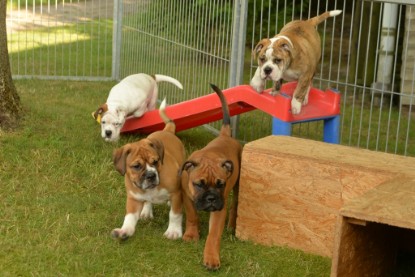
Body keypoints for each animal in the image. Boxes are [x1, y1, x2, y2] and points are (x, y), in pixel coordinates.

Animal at [110, 98, 185, 239]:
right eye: (136, 166)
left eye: (155, 162)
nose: (151, 175)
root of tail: (167, 130)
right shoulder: (133, 199)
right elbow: (130, 217)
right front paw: (124, 230)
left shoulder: (176, 194)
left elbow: (175, 214)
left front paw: (173, 231)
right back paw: (146, 210)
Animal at [180, 83, 242, 268]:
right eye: (199, 184)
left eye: (221, 184)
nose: (211, 198)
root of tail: (225, 135)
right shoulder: (188, 196)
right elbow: (192, 216)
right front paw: (191, 235)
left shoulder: (219, 209)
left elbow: (213, 234)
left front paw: (212, 257)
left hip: (237, 187)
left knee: (234, 205)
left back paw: (231, 226)